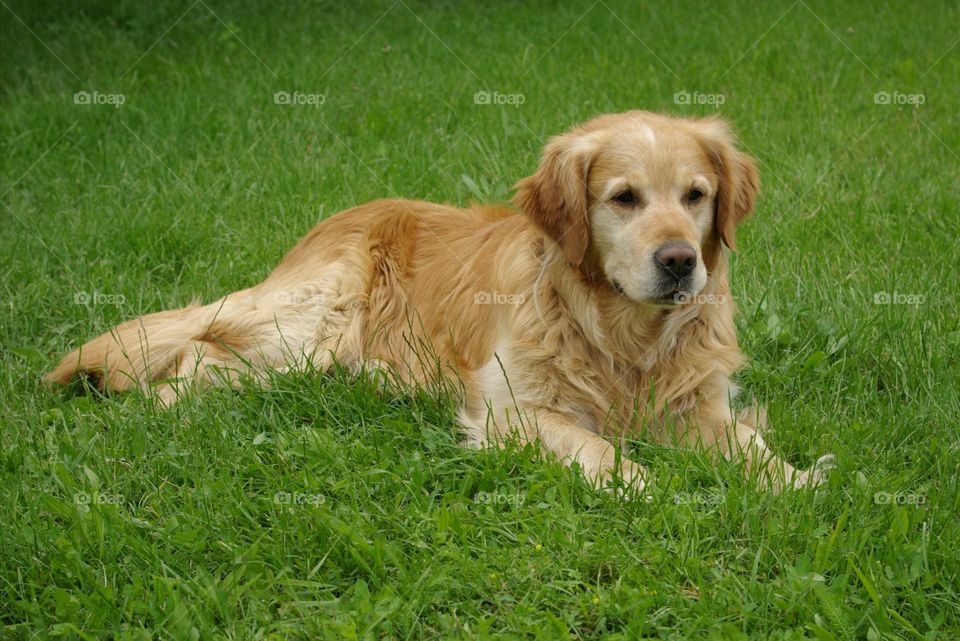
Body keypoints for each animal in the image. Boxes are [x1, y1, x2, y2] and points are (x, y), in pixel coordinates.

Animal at [48, 110, 836, 490]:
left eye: (696, 196)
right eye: (624, 198)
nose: (678, 263)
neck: (625, 335)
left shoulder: (699, 406)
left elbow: (750, 447)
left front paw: (796, 481)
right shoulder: (514, 410)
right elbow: (594, 444)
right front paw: (644, 486)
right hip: (306, 324)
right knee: (196, 356)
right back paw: (155, 416)